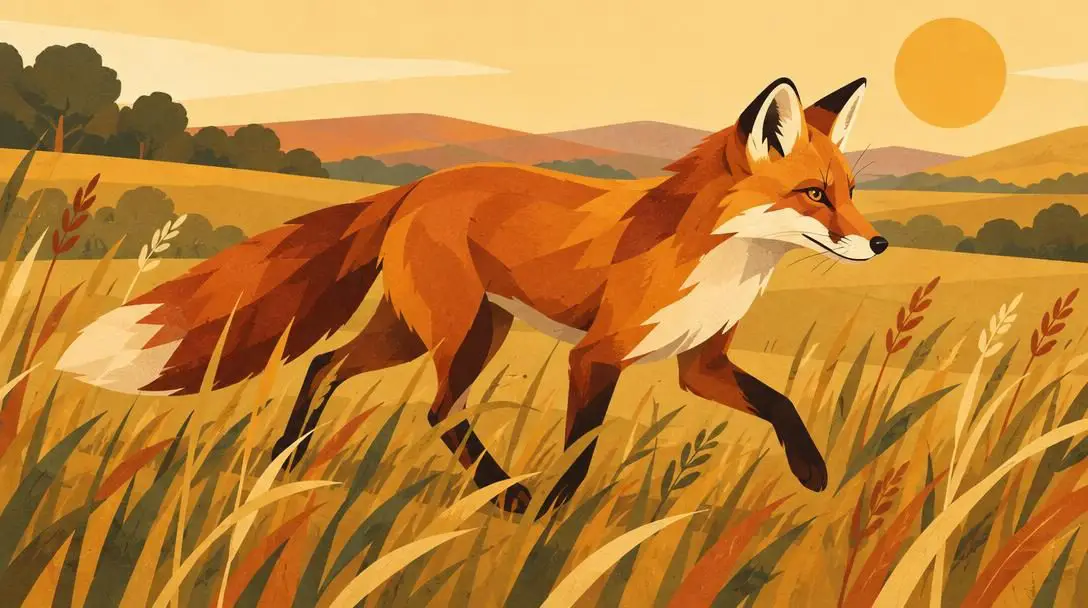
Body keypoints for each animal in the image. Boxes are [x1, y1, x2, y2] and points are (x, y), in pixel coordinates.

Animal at [57, 76, 885, 514]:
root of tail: (420, 186)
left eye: (850, 191)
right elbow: (581, 451)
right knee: (436, 411)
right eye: (814, 195)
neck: (719, 258)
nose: (878, 245)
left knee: (323, 366)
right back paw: (505, 495)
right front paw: (553, 518)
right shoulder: (597, 357)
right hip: (460, 336)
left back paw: (287, 463)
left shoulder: (699, 364)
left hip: (419, 331)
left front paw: (813, 473)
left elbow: (781, 403)